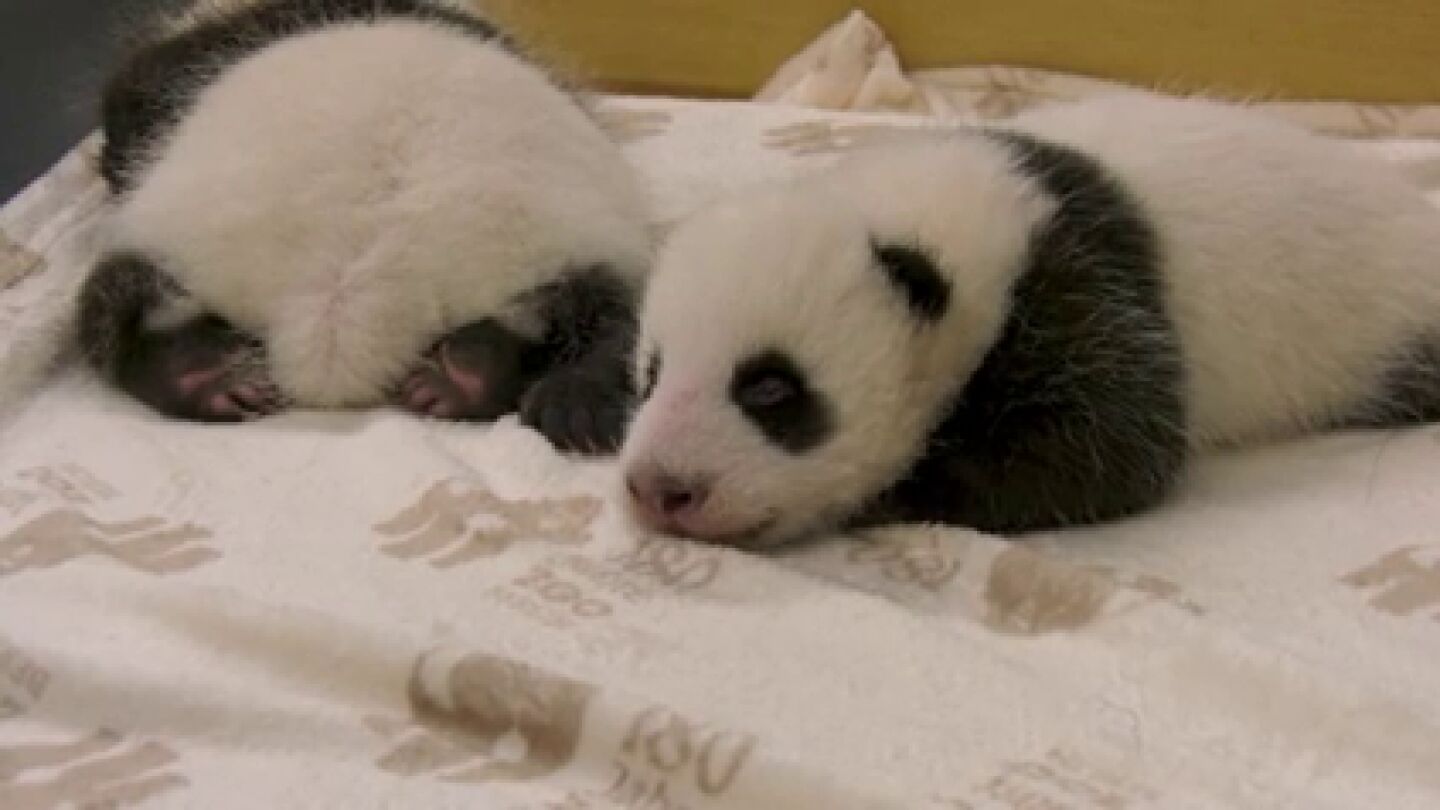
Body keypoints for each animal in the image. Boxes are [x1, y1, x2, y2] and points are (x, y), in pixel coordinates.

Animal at [620, 94, 1440, 547]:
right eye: (651, 374)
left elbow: (1117, 447)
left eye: (769, 389)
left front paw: (896, 492)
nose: (661, 489)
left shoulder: (1077, 278)